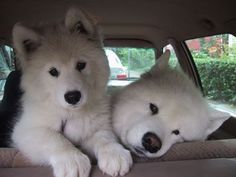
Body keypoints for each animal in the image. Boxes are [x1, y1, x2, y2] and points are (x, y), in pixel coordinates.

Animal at [12, 6, 133, 177]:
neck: (71, 114)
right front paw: (72, 160)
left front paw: (114, 153)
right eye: (53, 71)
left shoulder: (96, 128)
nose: (73, 96)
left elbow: (104, 137)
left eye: (81, 65)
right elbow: (54, 138)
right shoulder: (25, 130)